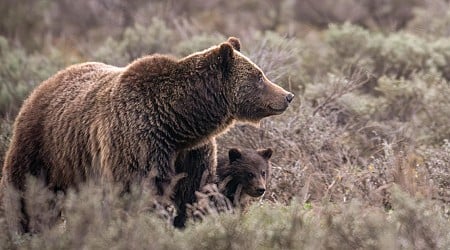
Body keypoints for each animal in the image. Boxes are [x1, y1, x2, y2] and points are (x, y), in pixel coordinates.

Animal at [0, 36, 294, 232]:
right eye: (259, 76)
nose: (287, 95)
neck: (179, 122)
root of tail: (42, 85)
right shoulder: (139, 142)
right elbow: (141, 190)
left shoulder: (191, 153)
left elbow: (192, 192)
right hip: (43, 147)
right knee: (27, 193)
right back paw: (27, 229)